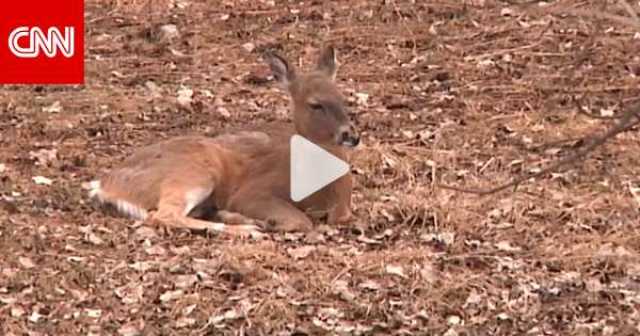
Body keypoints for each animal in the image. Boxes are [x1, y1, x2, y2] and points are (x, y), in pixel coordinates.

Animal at [88, 46, 362, 238]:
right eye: (316, 104)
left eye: (343, 98)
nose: (351, 135)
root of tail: (104, 184)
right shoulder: (252, 192)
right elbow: (301, 221)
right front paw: (263, 222)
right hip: (192, 171)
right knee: (163, 214)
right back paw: (247, 228)